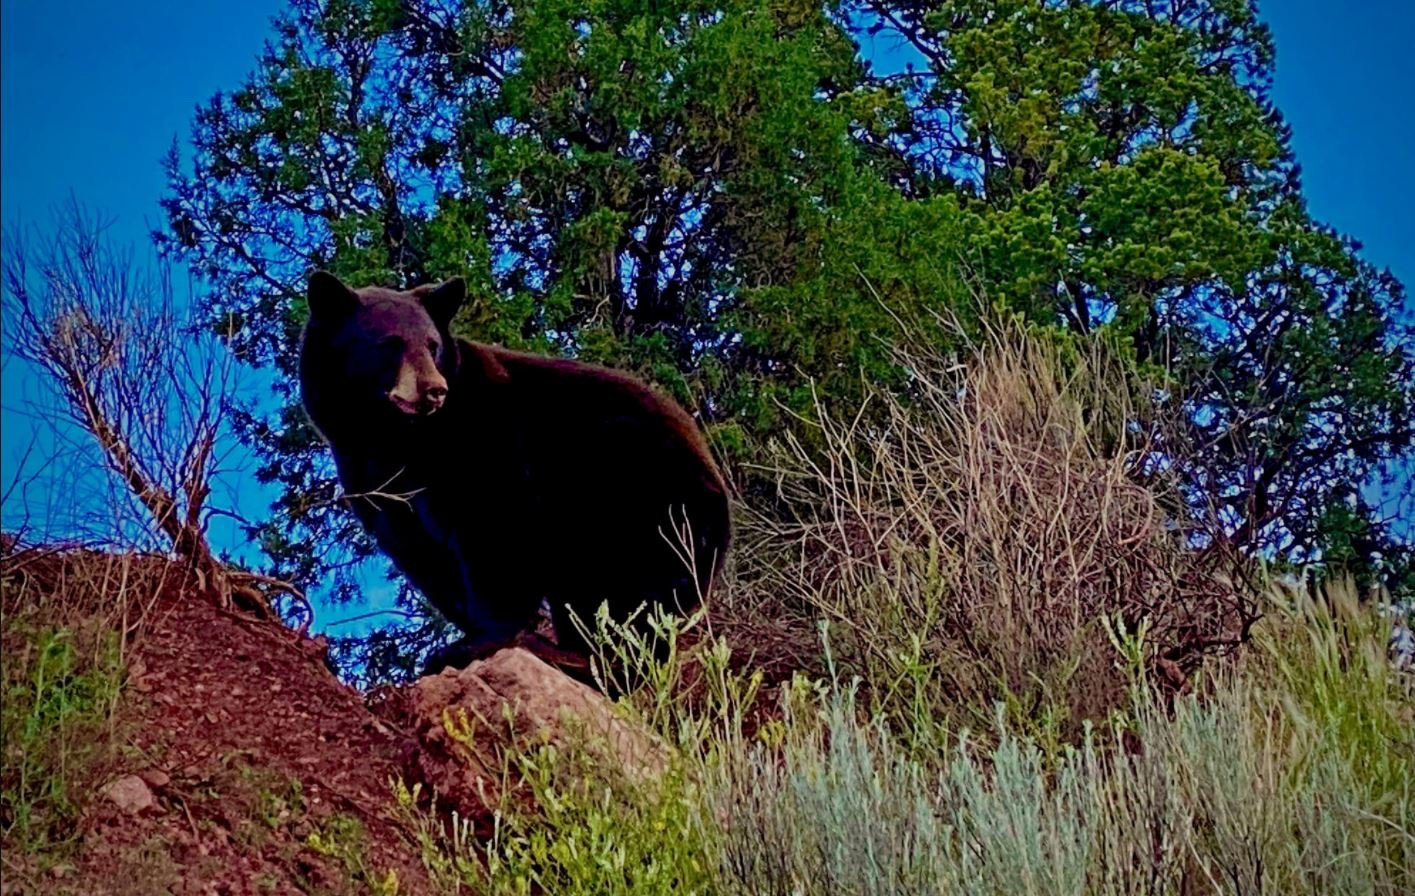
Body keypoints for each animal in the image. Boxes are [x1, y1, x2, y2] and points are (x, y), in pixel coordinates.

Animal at [297, 270, 730, 670]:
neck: (395, 437)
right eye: (390, 344)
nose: (434, 390)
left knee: (619, 591)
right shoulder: (370, 478)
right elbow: (423, 556)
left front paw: (474, 642)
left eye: (432, 346)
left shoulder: (487, 445)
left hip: (636, 501)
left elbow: (493, 531)